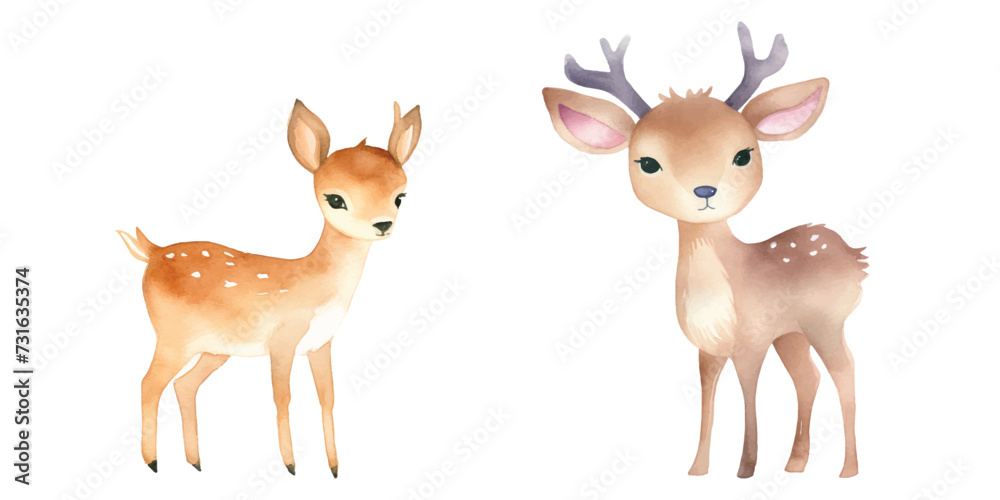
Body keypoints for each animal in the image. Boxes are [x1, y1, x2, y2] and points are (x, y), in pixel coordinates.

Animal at [116, 99, 421, 477]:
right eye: (335, 199)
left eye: (400, 196)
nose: (382, 224)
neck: (316, 283)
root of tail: (152, 251)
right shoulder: (282, 339)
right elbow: (283, 396)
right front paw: (291, 465)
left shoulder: (321, 343)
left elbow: (327, 397)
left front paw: (334, 467)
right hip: (173, 335)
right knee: (149, 383)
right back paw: (154, 461)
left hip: (215, 348)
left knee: (183, 385)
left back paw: (196, 461)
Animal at [542, 23, 866, 478]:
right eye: (647, 163)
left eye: (744, 154)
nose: (705, 191)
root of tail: (856, 256)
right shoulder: (708, 348)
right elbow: (708, 398)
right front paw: (698, 468)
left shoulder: (751, 341)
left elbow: (748, 393)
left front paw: (745, 468)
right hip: (791, 333)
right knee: (809, 377)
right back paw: (795, 463)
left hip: (826, 321)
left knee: (845, 371)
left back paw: (847, 469)